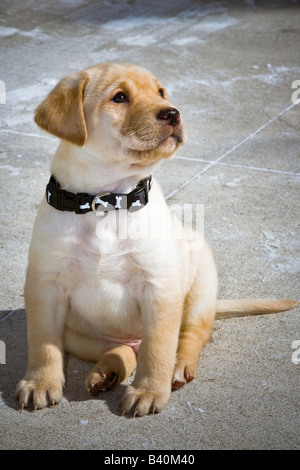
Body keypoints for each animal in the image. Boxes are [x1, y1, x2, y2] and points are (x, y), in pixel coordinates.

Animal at [15, 62, 298, 414]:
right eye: (119, 97)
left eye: (161, 92)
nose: (173, 113)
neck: (106, 202)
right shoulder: (45, 285)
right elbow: (42, 342)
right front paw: (39, 382)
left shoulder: (159, 287)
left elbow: (158, 348)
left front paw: (149, 391)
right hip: (79, 335)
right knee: (122, 351)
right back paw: (106, 372)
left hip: (200, 286)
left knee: (189, 336)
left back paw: (178, 367)